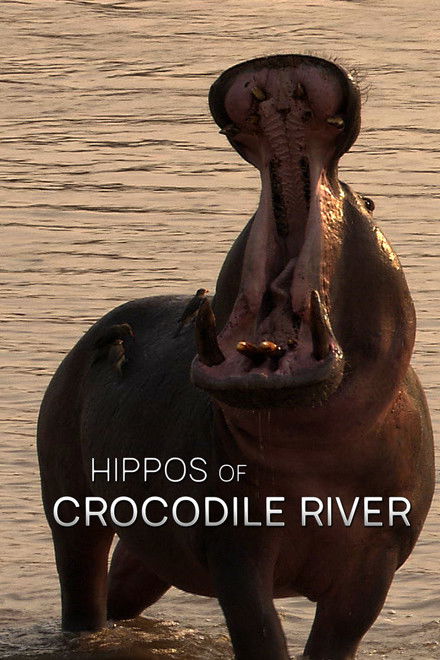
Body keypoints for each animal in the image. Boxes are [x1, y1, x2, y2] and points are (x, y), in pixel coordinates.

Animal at [37, 55, 434, 660]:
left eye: (369, 202)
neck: (314, 452)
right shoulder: (234, 545)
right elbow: (258, 630)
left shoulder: (377, 561)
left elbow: (339, 635)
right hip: (69, 501)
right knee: (80, 581)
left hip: (154, 547)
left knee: (124, 581)